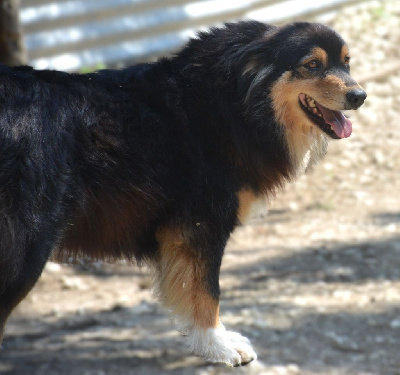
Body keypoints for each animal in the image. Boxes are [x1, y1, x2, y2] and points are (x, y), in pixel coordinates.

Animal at [0, 21, 366, 368]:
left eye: (346, 63)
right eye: (312, 65)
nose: (360, 95)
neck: (237, 100)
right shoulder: (202, 227)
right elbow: (207, 292)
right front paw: (217, 346)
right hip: (28, 245)